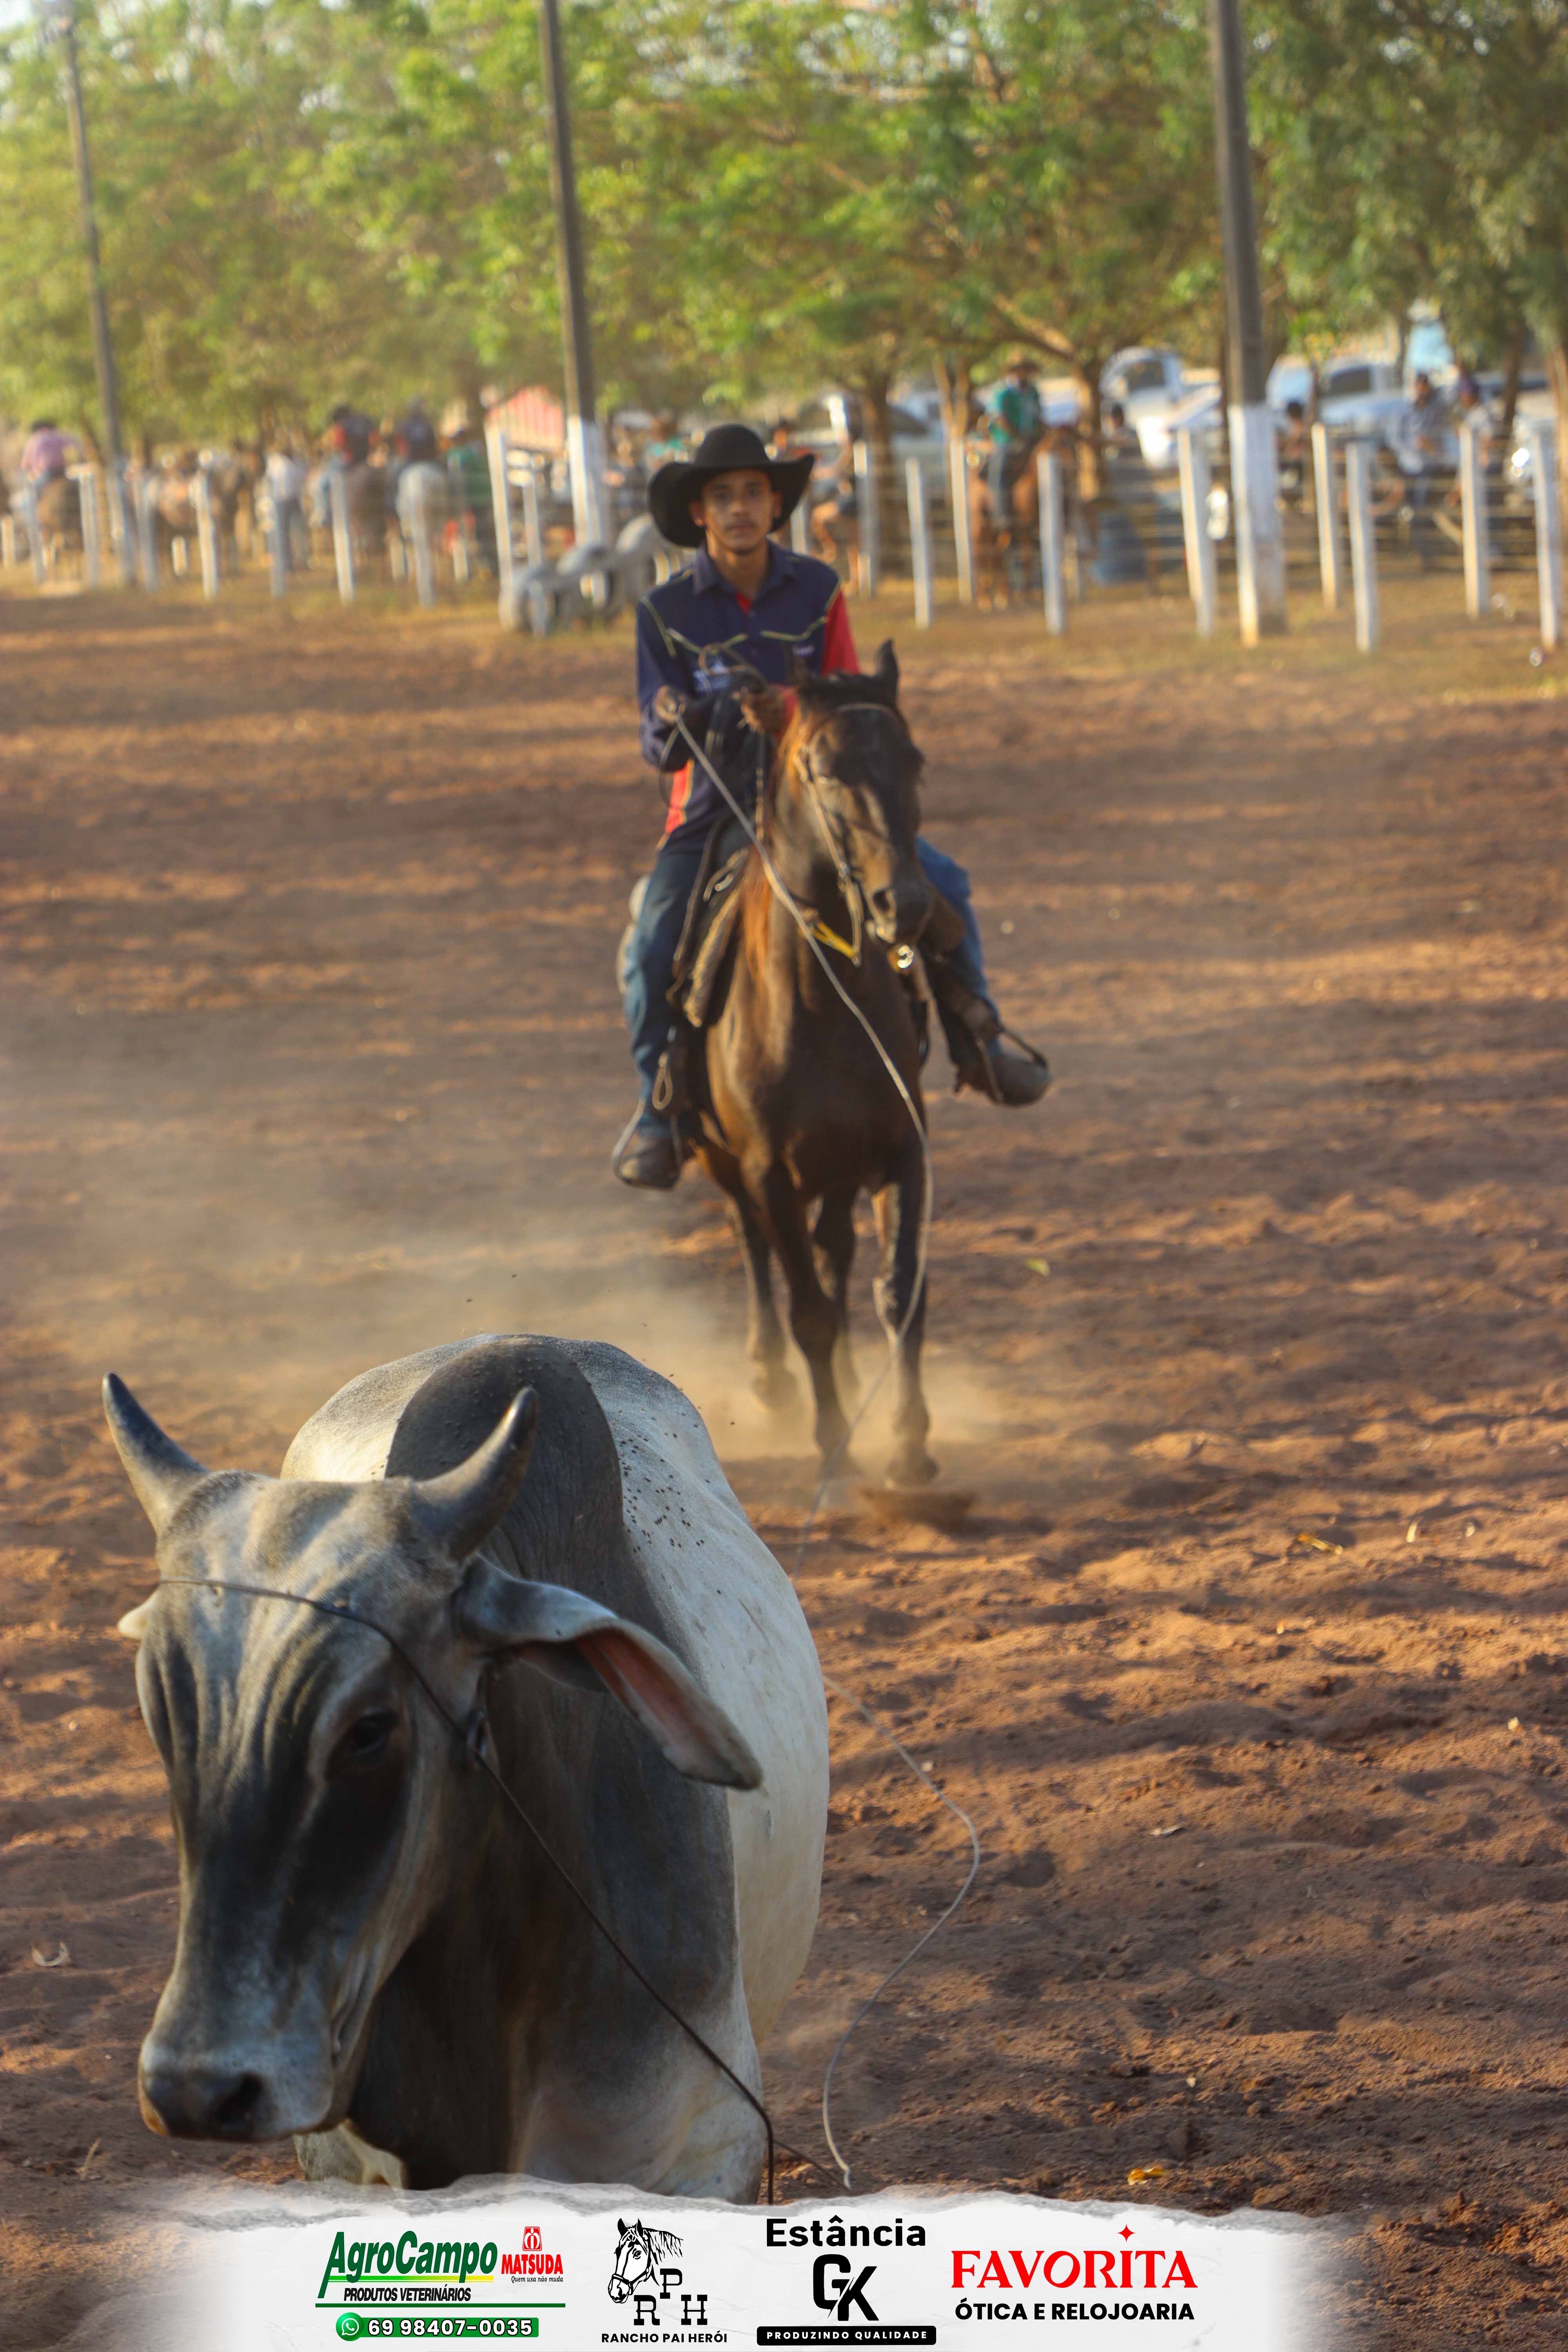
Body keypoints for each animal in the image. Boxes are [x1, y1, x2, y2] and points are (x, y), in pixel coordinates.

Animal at [687, 644, 938, 1489]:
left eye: (913, 760)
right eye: (825, 770)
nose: (905, 905)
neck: (823, 1003)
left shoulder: (901, 1149)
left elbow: (898, 1292)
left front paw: (908, 1442)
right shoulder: (766, 1170)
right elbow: (809, 1312)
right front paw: (833, 1443)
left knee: (836, 1250)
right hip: (726, 1161)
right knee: (756, 1248)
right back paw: (773, 1380)